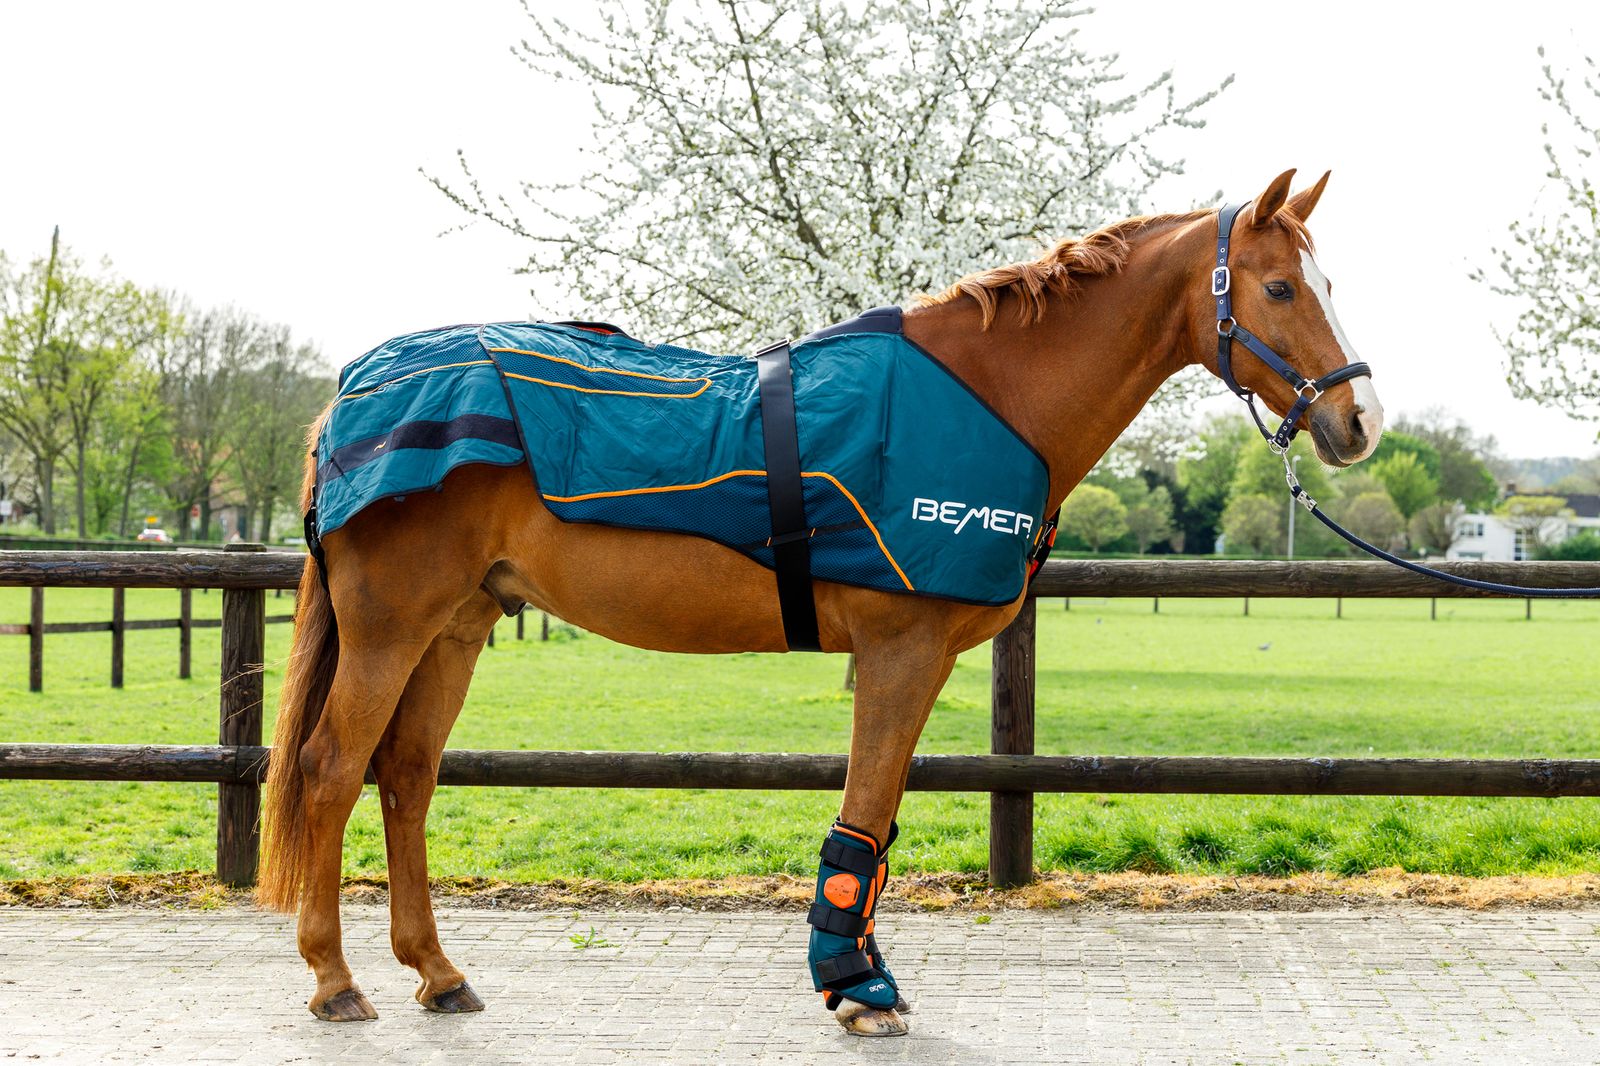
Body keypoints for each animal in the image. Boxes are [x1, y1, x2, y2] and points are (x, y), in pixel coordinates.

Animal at [258, 168, 1384, 1037]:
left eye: (1324, 281)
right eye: (1281, 286)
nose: (1359, 420)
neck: (987, 393)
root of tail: (350, 392)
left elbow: (874, 826)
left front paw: (859, 974)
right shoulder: (901, 652)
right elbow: (865, 812)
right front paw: (857, 987)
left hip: (456, 628)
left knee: (404, 776)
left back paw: (437, 973)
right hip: (392, 628)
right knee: (329, 771)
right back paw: (335, 980)